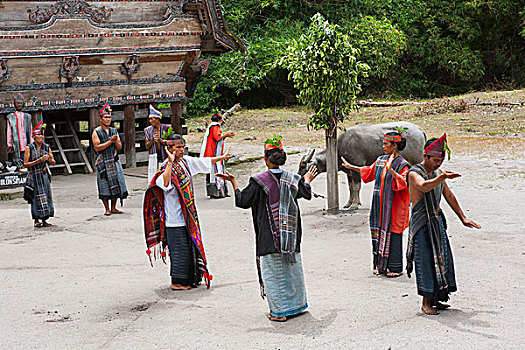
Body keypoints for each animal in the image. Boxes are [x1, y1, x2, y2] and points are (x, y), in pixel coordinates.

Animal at [296, 121, 424, 209]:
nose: (299, 178)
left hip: (417, 160)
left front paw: (355, 204)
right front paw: (348, 203)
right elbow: (350, 187)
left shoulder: (356, 169)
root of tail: (419, 129)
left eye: (303, 166)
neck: (339, 149)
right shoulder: (349, 172)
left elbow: (356, 186)